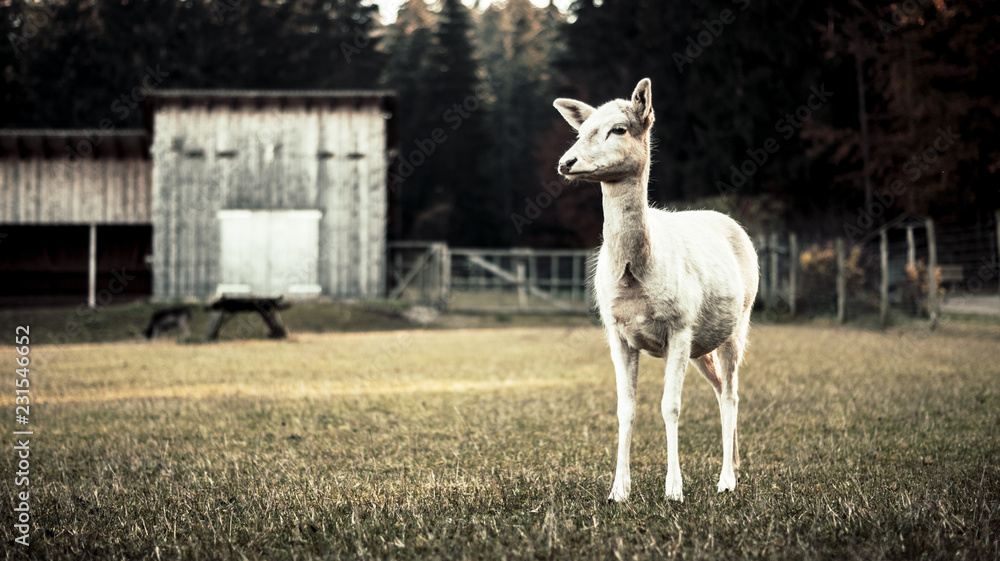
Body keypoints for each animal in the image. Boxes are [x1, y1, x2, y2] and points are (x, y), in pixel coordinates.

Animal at [554, 78, 758, 502]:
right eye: (580, 131)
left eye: (618, 128)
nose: (566, 162)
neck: (636, 279)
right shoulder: (616, 330)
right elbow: (625, 407)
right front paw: (618, 491)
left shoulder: (680, 325)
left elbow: (671, 406)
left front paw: (674, 490)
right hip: (703, 343)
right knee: (719, 388)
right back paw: (735, 466)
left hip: (738, 324)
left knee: (732, 392)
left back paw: (726, 480)